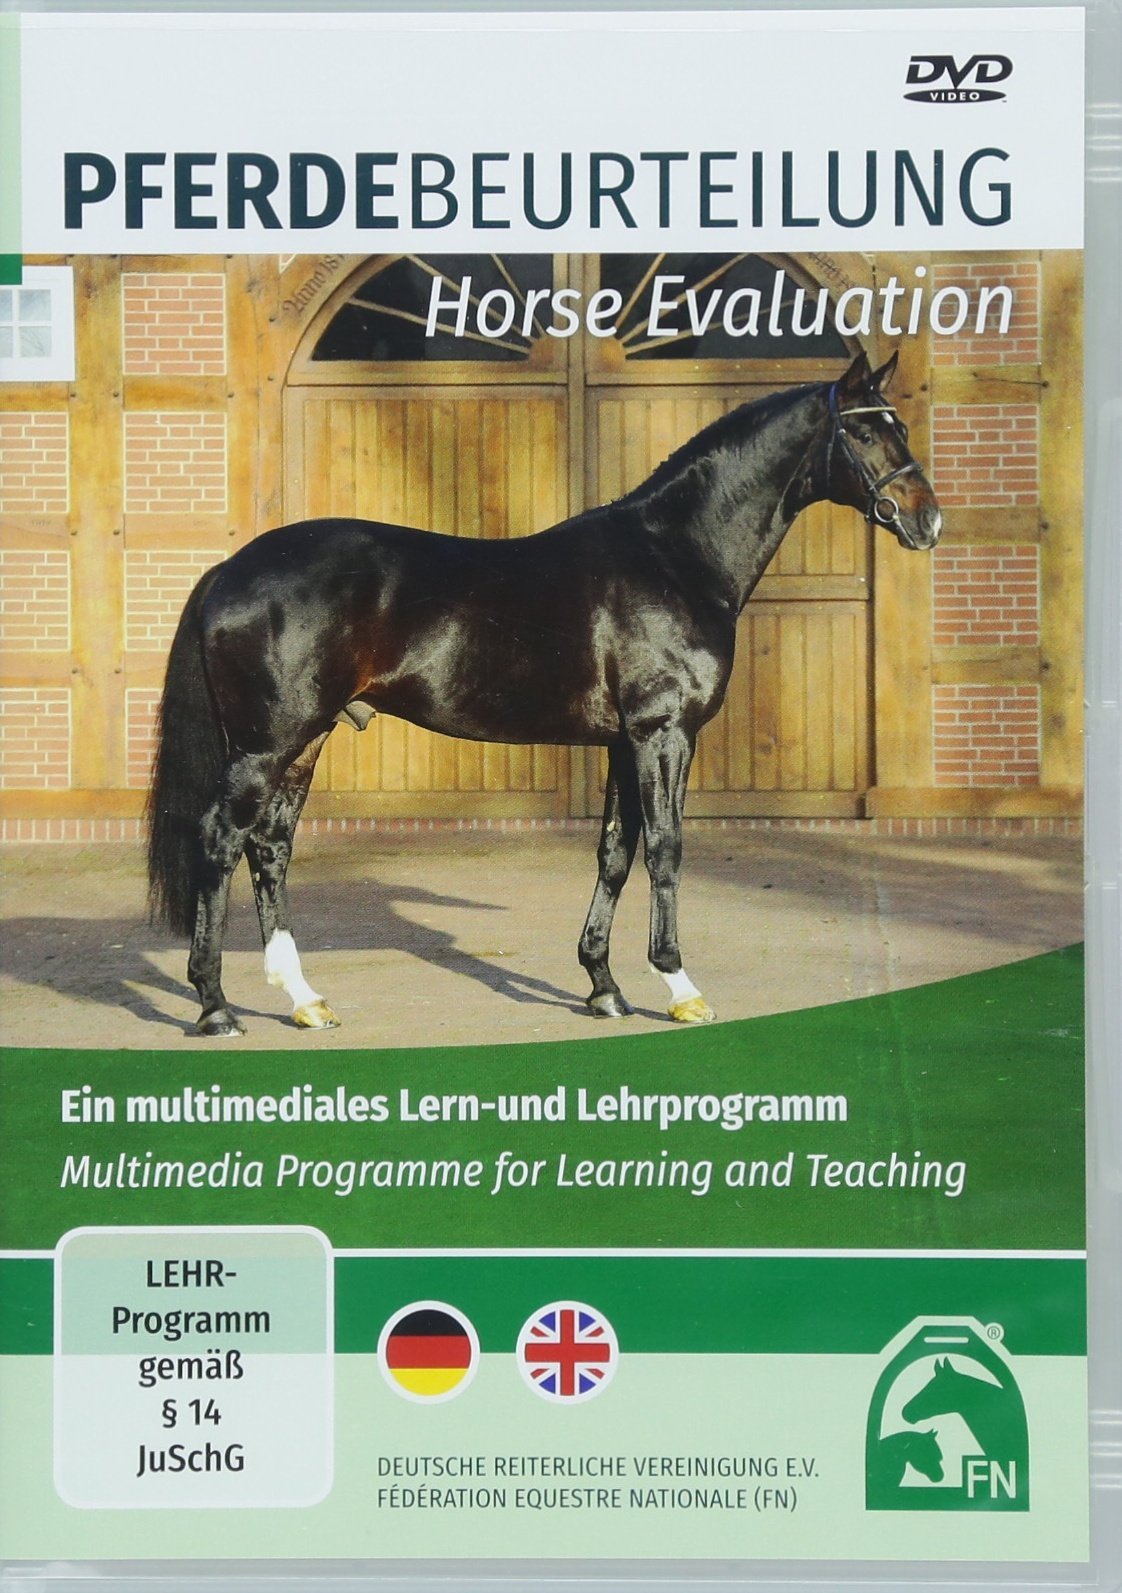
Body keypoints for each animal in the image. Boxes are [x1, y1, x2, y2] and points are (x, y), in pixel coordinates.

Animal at [146, 350, 941, 1037]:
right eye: (864, 429)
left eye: (899, 423)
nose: (926, 519)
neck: (674, 556)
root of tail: (229, 569)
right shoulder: (663, 733)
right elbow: (666, 849)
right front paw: (680, 987)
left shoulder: (624, 742)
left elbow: (616, 852)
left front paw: (604, 987)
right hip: (265, 745)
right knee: (220, 840)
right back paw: (215, 1006)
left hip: (305, 739)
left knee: (270, 848)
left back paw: (305, 999)